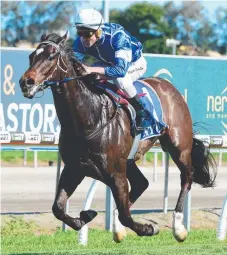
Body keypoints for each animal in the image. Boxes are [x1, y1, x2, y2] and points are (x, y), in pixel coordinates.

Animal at [19, 32, 216, 242]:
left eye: (51, 56)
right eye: (31, 56)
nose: (26, 82)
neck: (89, 117)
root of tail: (168, 86)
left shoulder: (115, 173)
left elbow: (126, 215)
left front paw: (148, 228)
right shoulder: (74, 168)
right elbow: (58, 208)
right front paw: (86, 216)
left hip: (179, 146)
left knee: (187, 176)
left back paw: (178, 225)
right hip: (129, 160)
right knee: (141, 184)